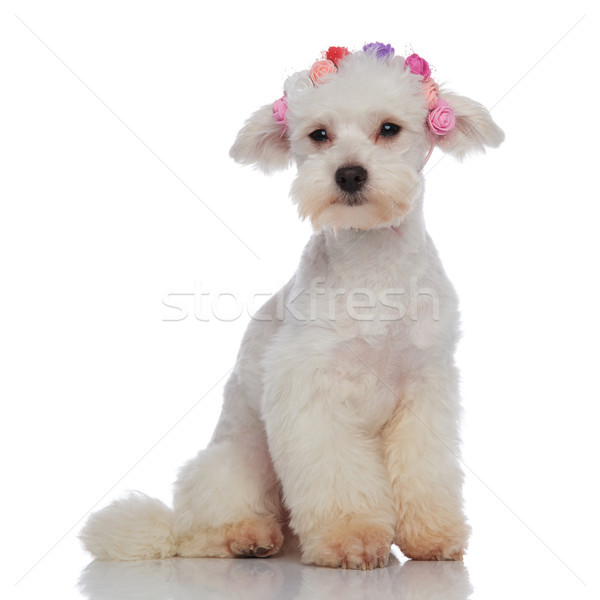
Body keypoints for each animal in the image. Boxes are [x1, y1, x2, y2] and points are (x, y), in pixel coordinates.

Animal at [79, 42, 502, 568]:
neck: (373, 269)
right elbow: (337, 478)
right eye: (319, 134)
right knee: (202, 531)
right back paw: (246, 536)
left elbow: (425, 472)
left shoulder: (424, 389)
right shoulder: (311, 390)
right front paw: (351, 537)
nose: (349, 173)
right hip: (236, 463)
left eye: (389, 129)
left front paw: (431, 536)